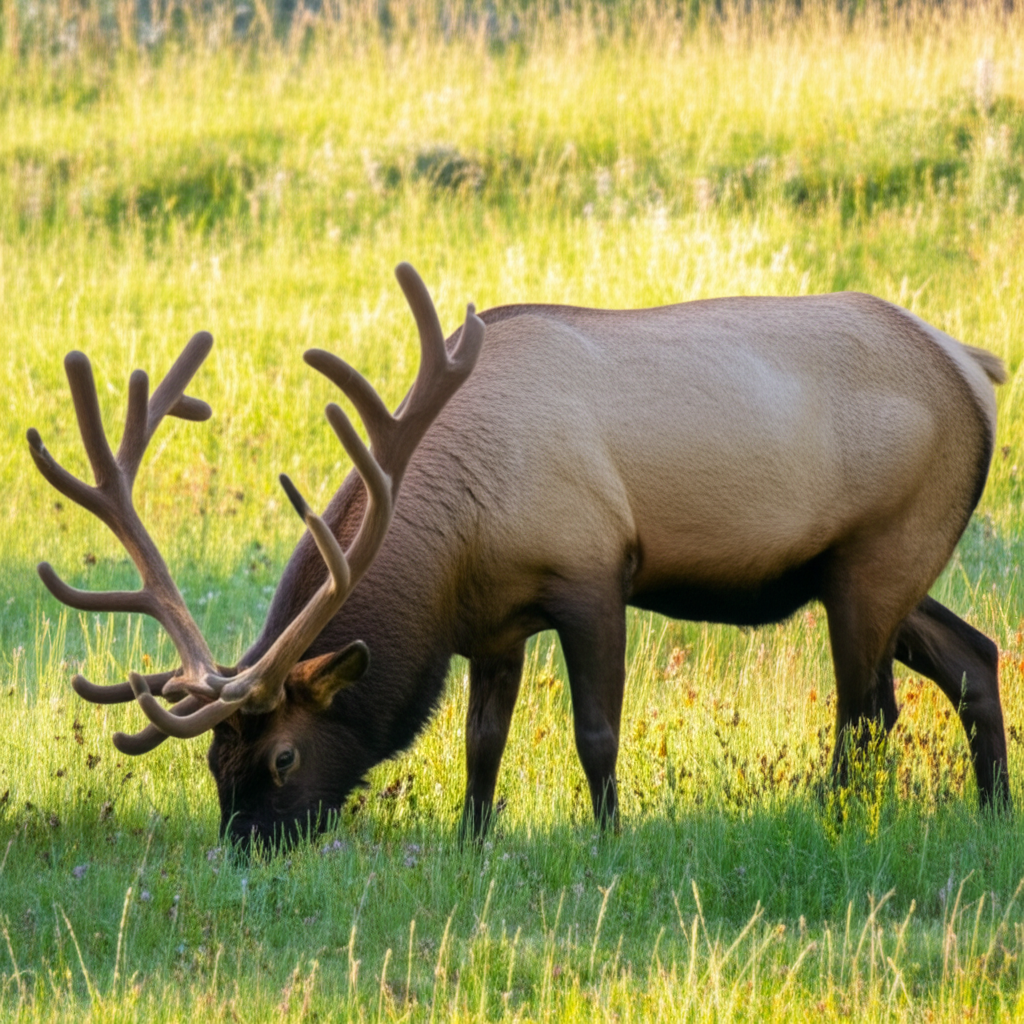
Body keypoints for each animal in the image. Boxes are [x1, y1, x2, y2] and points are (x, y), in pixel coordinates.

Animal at [28, 264, 1011, 848]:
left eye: (282, 760)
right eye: (209, 765)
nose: (244, 854)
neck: (454, 544)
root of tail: (975, 368)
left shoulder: (593, 573)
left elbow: (597, 733)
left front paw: (608, 839)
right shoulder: (493, 625)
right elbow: (480, 746)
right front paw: (473, 841)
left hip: (881, 550)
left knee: (868, 710)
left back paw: (837, 816)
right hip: (871, 567)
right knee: (973, 655)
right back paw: (995, 809)